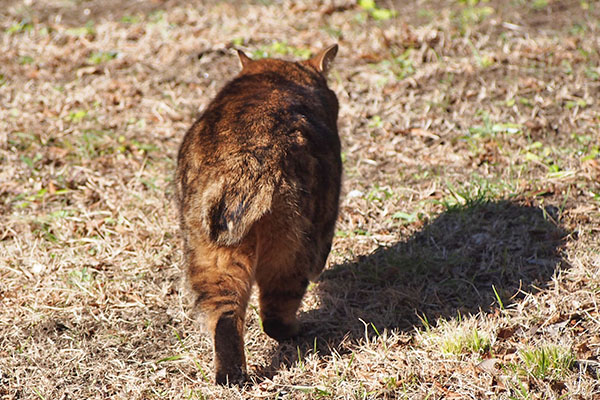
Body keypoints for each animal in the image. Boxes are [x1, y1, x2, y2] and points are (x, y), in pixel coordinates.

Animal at [176, 43, 340, 384]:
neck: (270, 79)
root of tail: (240, 164)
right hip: (291, 247)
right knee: (275, 314)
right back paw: (297, 332)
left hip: (209, 256)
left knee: (224, 318)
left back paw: (230, 376)